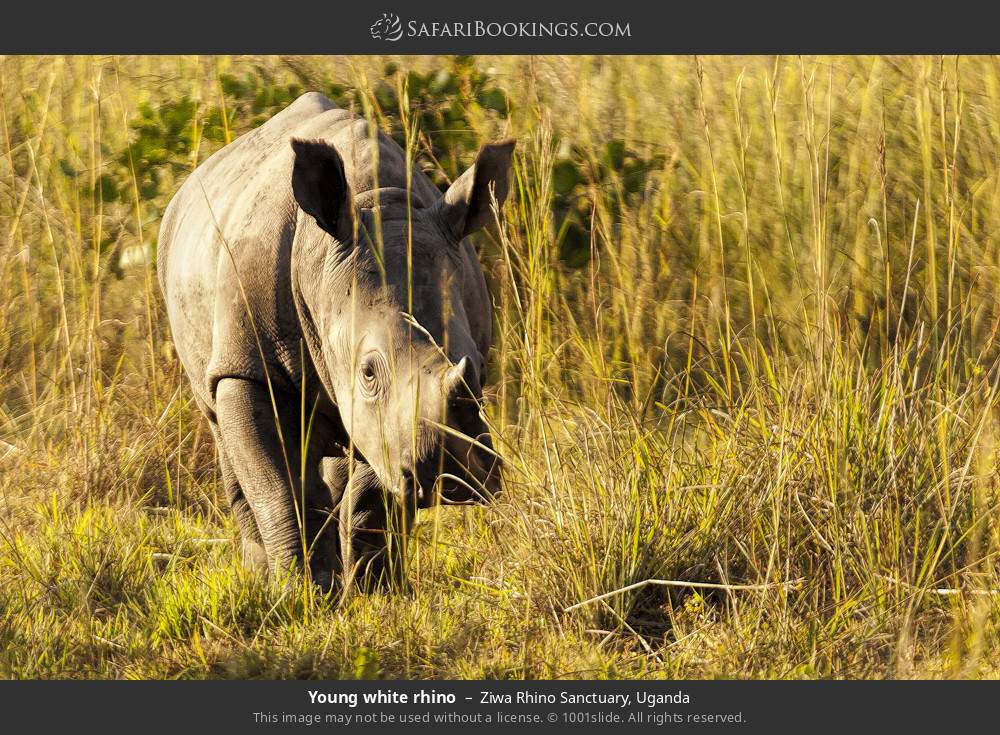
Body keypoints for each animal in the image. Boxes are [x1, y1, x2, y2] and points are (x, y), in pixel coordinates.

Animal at [161, 92, 516, 588]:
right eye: (368, 372)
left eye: (480, 372)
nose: (452, 474)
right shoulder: (248, 367)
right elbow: (280, 487)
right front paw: (303, 591)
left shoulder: (391, 418)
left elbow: (373, 487)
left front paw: (377, 590)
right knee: (223, 430)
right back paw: (259, 576)